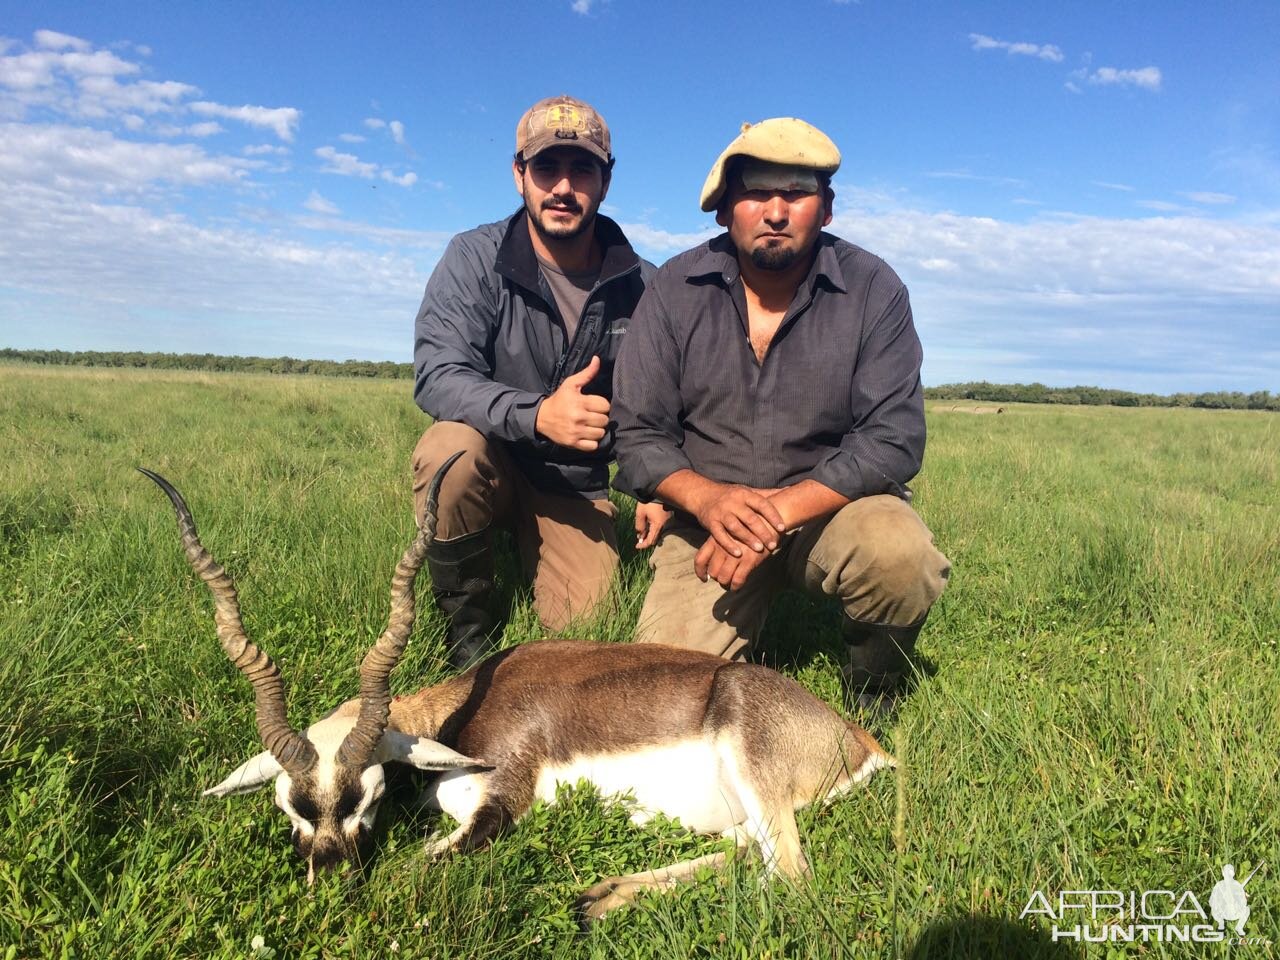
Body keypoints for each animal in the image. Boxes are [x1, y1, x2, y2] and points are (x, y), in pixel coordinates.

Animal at [142, 458, 890, 926]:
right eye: (287, 804)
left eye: (372, 795)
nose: (329, 883)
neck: (460, 714)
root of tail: (862, 741)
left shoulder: (500, 805)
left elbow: (414, 867)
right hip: (740, 813)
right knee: (743, 853)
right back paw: (596, 898)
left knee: (787, 875)